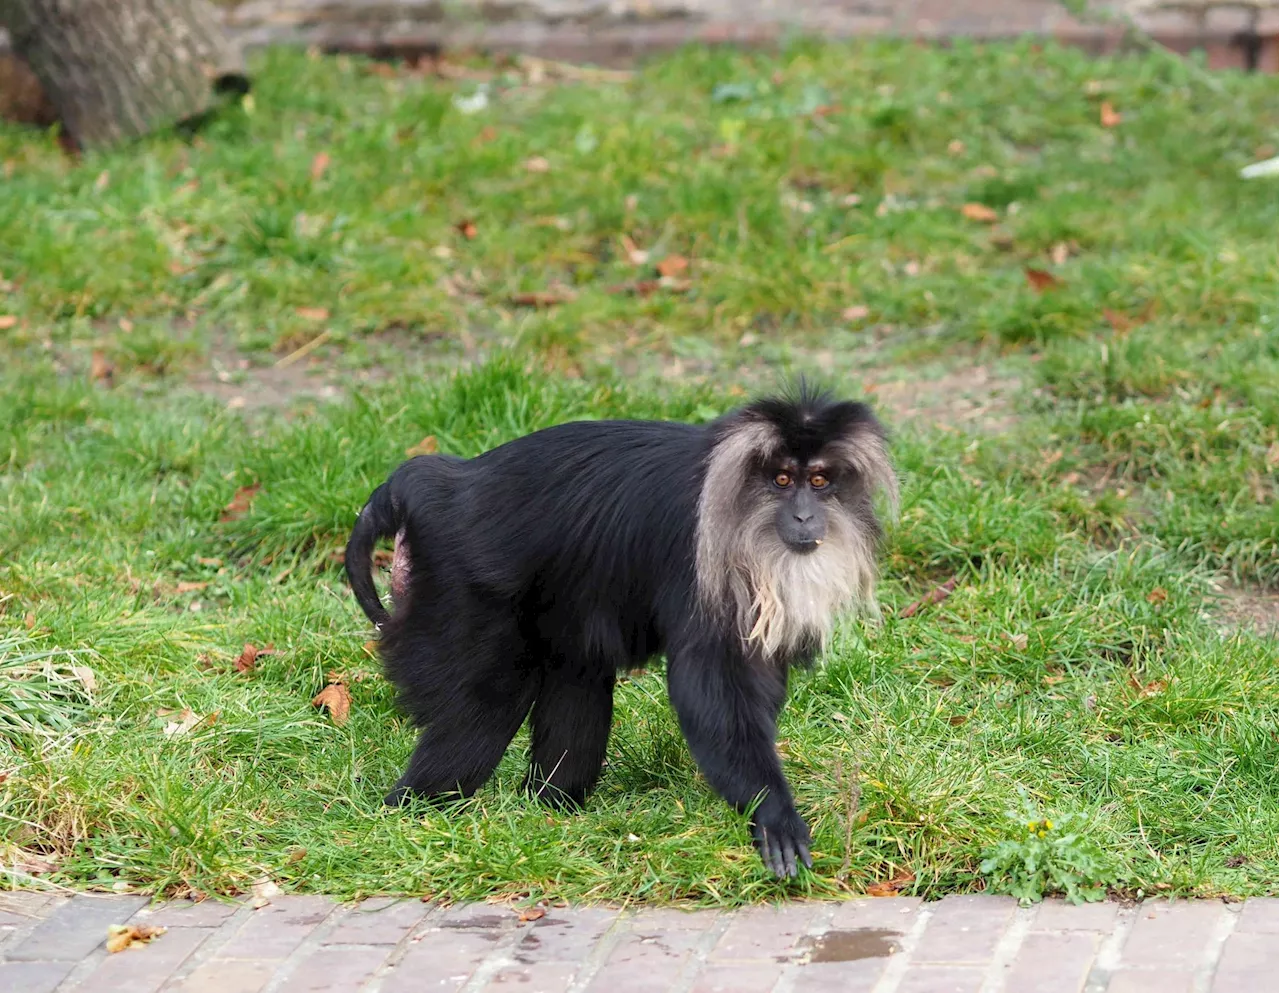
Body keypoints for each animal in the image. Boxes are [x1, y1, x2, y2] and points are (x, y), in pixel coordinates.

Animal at [345, 389, 896, 875]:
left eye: (819, 481)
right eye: (782, 479)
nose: (804, 515)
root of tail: (435, 483)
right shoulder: (699, 560)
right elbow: (709, 690)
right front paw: (773, 814)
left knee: (577, 677)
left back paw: (548, 810)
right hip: (457, 586)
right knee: (487, 705)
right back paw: (411, 811)